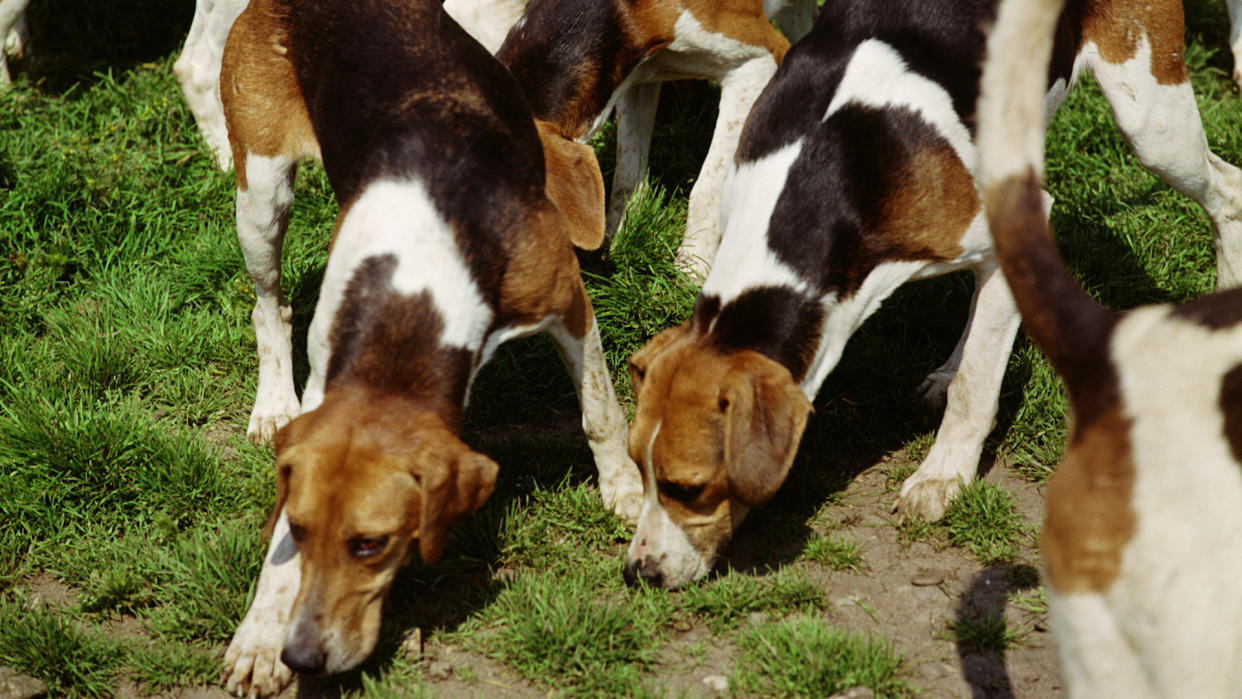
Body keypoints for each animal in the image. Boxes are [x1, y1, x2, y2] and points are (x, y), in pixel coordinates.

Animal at [217, 0, 640, 695]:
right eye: (300, 531)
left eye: (372, 544)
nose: (302, 656)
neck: (413, 289)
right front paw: (259, 637)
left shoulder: (568, 303)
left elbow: (601, 412)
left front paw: (627, 489)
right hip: (261, 191)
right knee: (268, 306)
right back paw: (272, 403)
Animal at [625, 0, 1242, 590]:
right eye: (637, 468)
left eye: (689, 487)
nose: (639, 574)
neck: (821, 183)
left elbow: (975, 389)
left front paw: (942, 475)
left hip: (1151, 118)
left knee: (1227, 191)